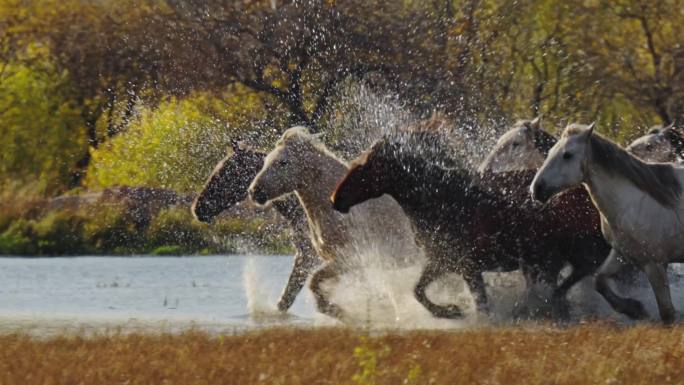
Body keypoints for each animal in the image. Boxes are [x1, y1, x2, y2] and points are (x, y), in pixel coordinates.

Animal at [192, 140, 320, 312]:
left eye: (224, 173)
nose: (197, 208)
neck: (298, 210)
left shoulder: (310, 254)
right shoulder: (304, 253)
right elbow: (286, 298)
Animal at [248, 126, 420, 318]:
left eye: (283, 162)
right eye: (266, 161)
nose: (254, 191)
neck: (338, 208)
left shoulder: (350, 258)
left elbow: (314, 282)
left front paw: (340, 312)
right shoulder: (323, 257)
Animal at [332, 131, 608, 318]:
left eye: (363, 168)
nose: (335, 199)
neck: (436, 203)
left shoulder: (469, 267)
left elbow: (482, 306)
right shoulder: (442, 260)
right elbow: (418, 291)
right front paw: (450, 310)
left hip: (574, 251)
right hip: (550, 258)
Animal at [532, 124, 684, 324]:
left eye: (567, 155)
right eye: (549, 152)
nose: (536, 188)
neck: (635, 203)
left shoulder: (655, 265)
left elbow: (667, 314)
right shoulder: (622, 254)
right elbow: (600, 281)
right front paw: (634, 309)